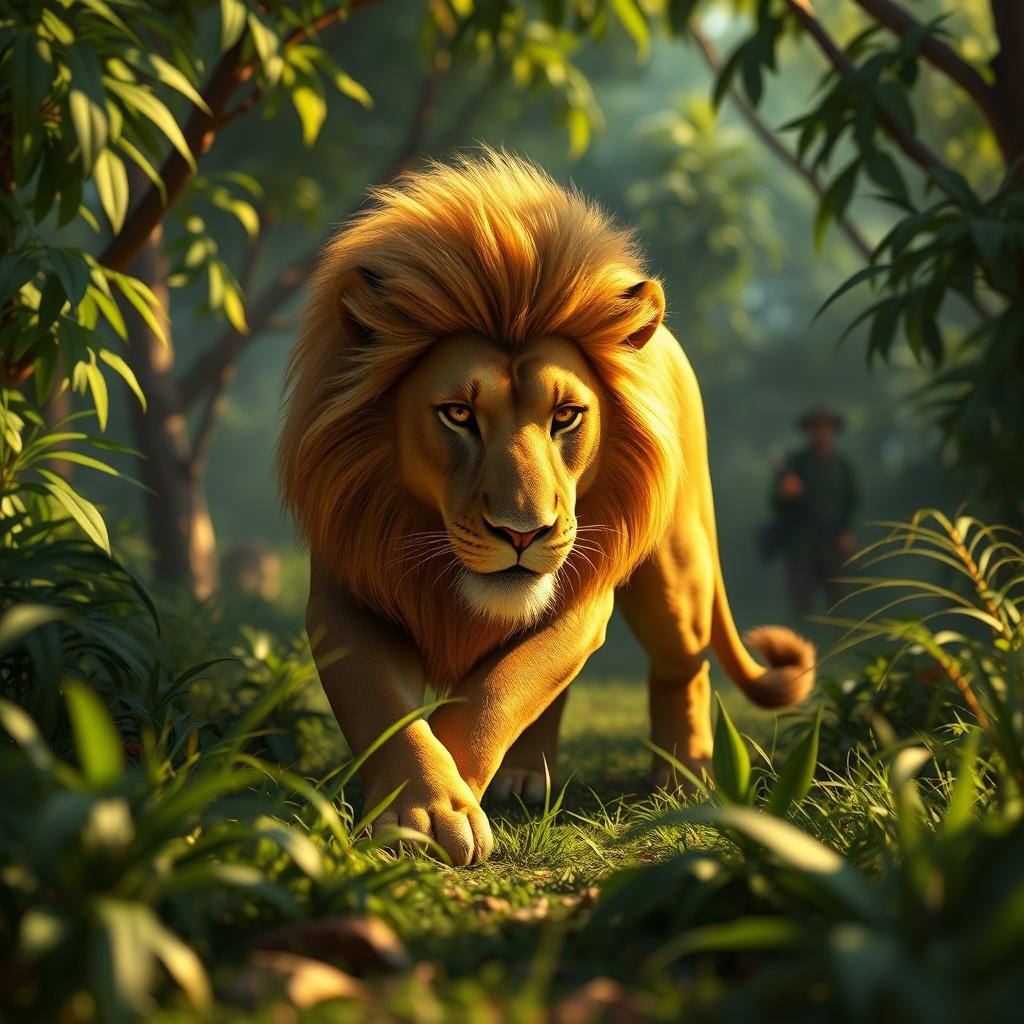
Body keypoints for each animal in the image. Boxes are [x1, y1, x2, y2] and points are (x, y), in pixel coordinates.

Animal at [277, 150, 815, 865]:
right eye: (458, 414)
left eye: (566, 416)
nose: (522, 533)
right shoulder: (348, 595)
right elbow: (383, 706)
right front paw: (424, 810)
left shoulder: (582, 596)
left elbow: (498, 695)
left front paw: (447, 802)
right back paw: (525, 774)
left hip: (677, 571)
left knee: (684, 664)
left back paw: (688, 774)